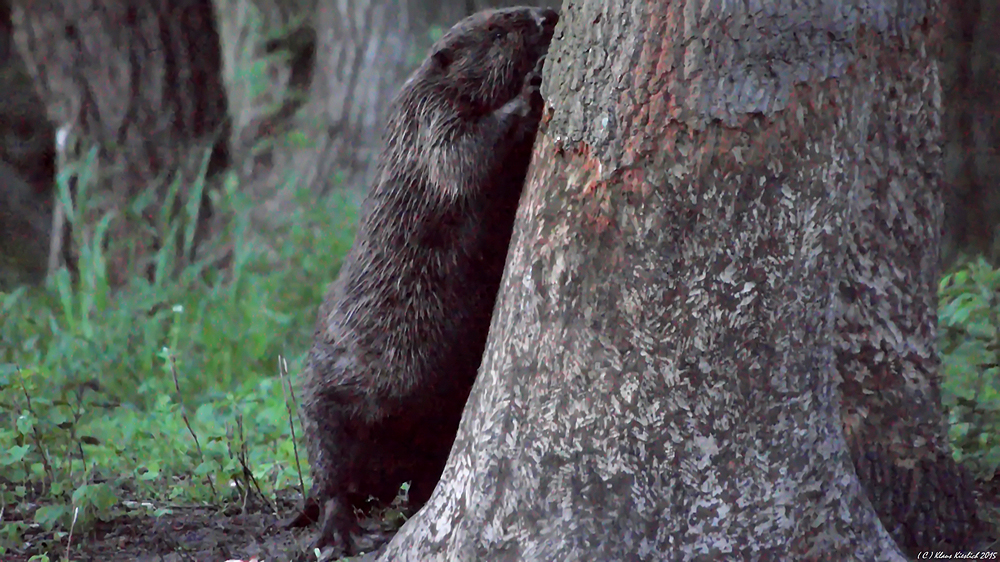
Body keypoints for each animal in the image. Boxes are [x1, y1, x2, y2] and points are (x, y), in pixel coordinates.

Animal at [288, 5, 564, 556]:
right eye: (496, 28)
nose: (547, 15)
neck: (426, 83)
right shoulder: (427, 119)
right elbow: (459, 155)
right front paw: (533, 82)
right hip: (326, 398)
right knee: (330, 474)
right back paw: (339, 531)